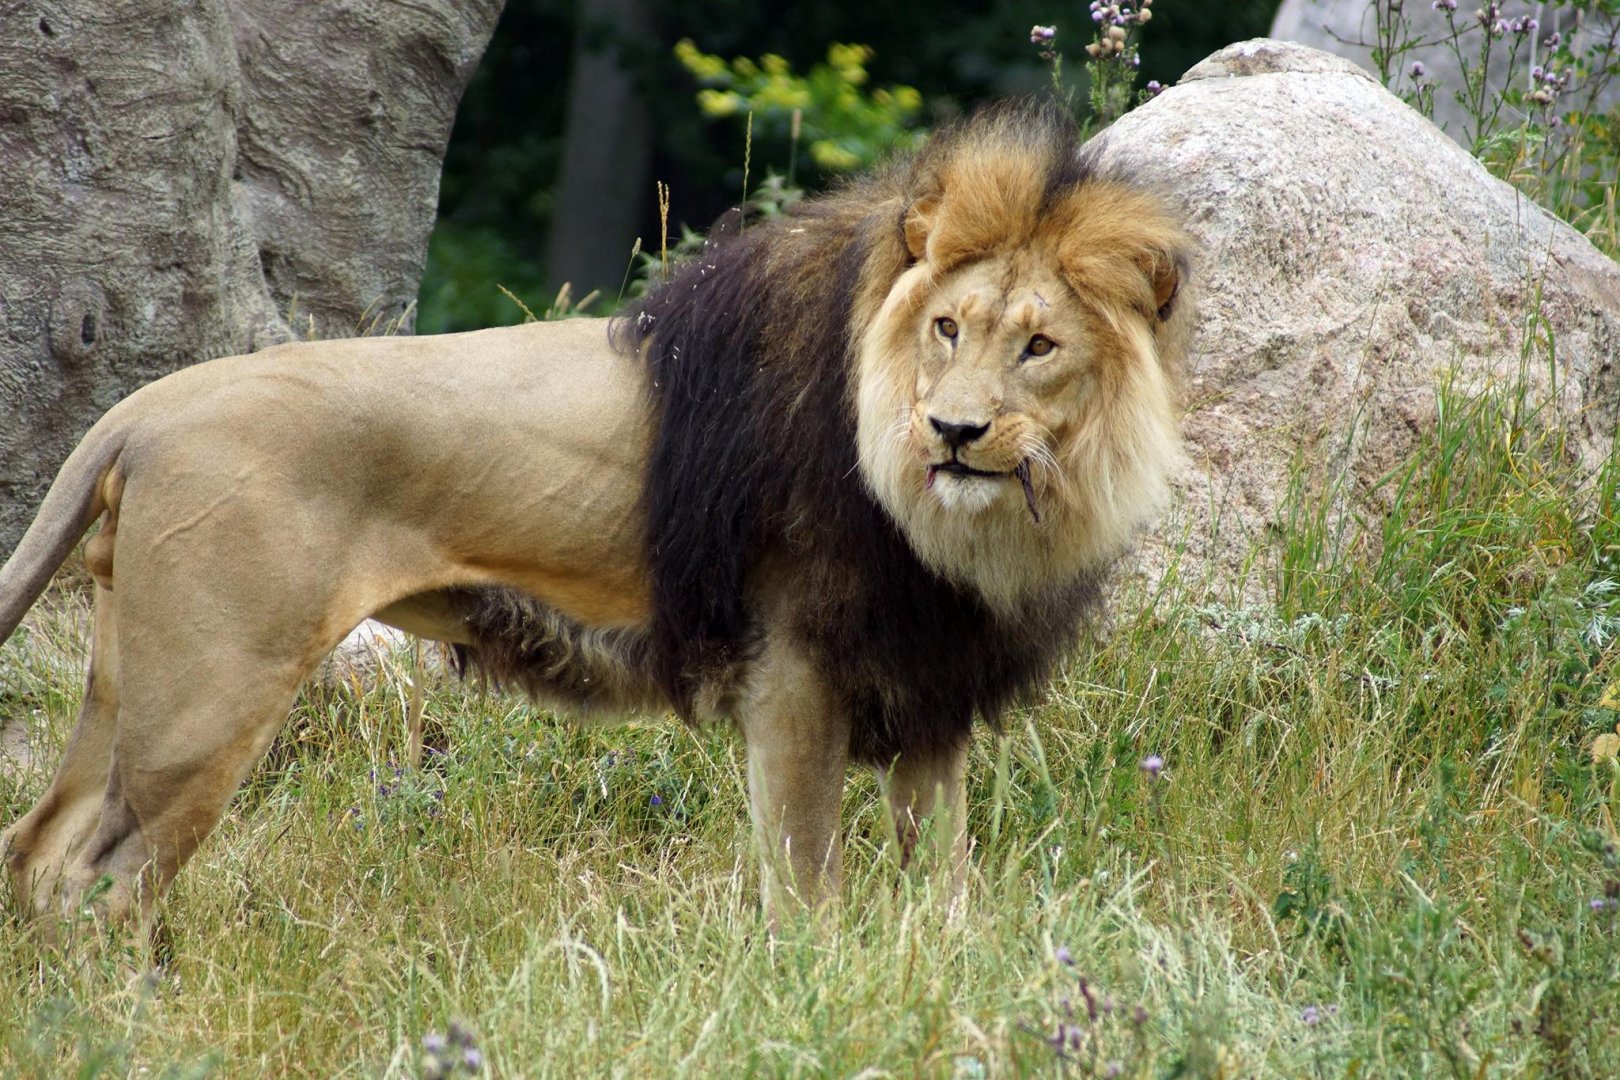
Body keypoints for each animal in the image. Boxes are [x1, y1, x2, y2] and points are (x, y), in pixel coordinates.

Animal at [0, 100, 1190, 927]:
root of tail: (145, 407)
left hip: (131, 675)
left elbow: (941, 880)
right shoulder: (794, 673)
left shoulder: (931, 689)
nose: (952, 431)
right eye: (946, 327)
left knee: (41, 849)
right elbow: (807, 883)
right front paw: (815, 979)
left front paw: (934, 970)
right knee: (103, 876)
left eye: (1038, 346)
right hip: (210, 694)